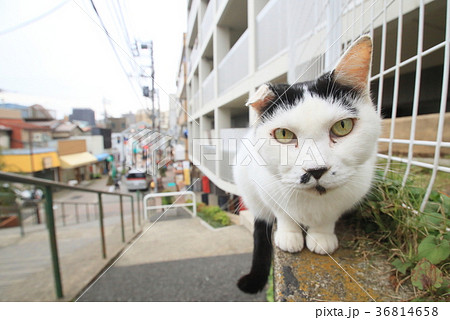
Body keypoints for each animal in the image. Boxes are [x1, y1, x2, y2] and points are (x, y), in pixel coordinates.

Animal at [234, 36, 382, 294]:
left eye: (342, 126)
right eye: (283, 134)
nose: (316, 170)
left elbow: (328, 217)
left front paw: (321, 237)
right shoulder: (266, 187)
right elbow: (282, 212)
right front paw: (289, 235)